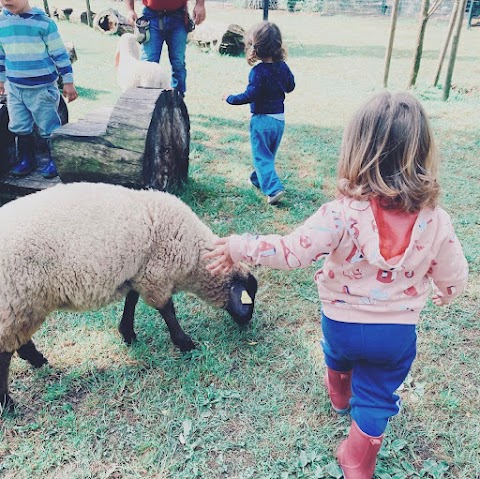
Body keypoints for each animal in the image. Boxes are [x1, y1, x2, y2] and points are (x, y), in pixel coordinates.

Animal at [0, 184, 258, 412]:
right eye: (249, 297)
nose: (247, 323)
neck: (195, 258)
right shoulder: (157, 274)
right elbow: (167, 310)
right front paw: (185, 343)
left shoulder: (140, 272)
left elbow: (132, 300)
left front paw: (128, 333)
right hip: (16, 300)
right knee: (5, 350)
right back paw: (7, 403)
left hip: (23, 304)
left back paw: (36, 359)